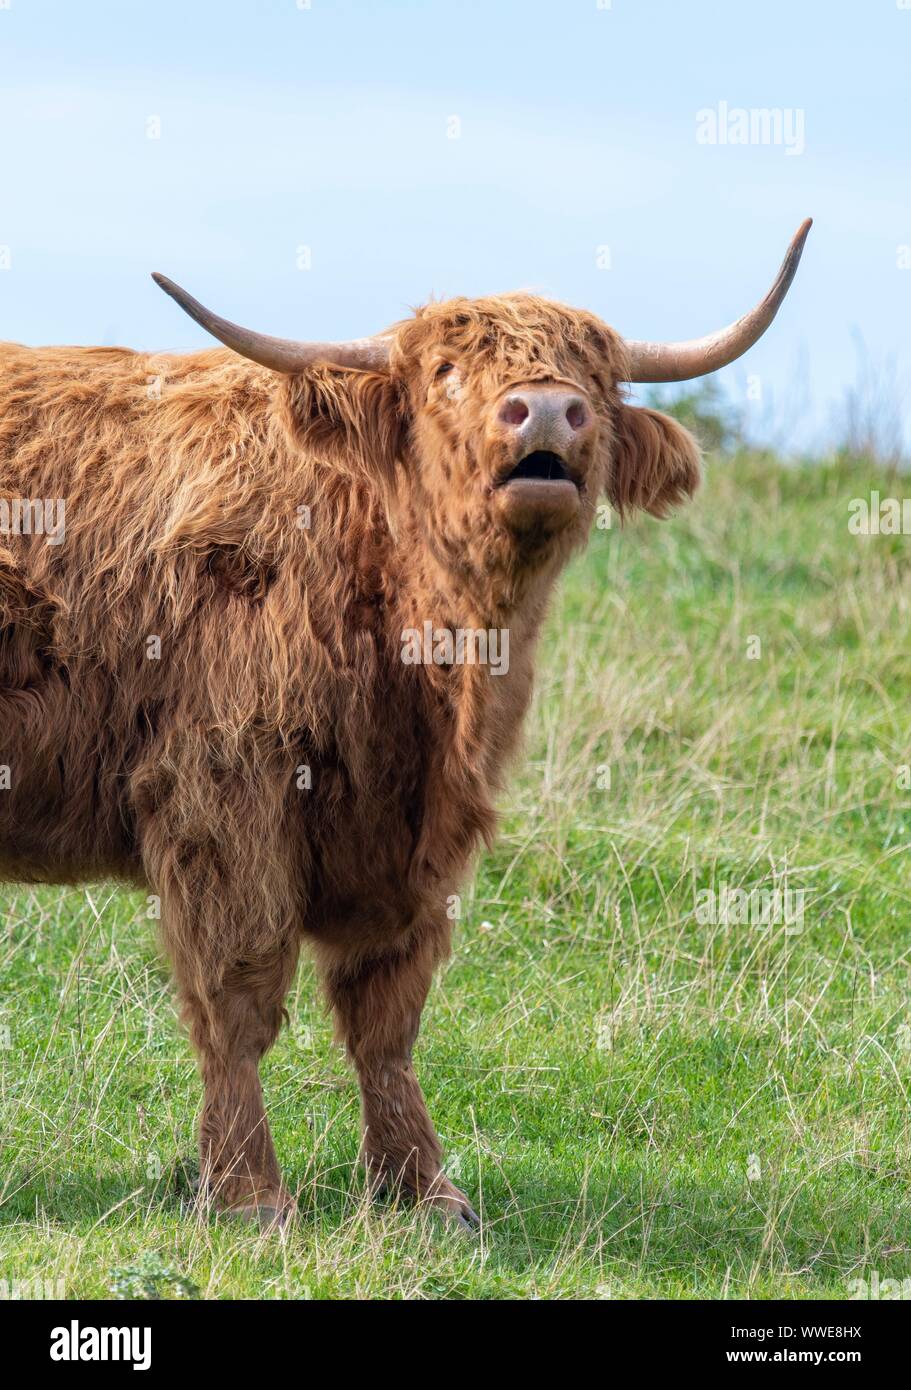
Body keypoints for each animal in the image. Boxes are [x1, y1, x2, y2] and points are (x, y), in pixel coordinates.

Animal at [0, 219, 812, 1228]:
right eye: (446, 373)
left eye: (593, 377)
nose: (547, 414)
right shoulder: (223, 792)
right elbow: (239, 999)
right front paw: (250, 1196)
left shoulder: (414, 838)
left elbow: (385, 1013)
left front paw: (423, 1190)